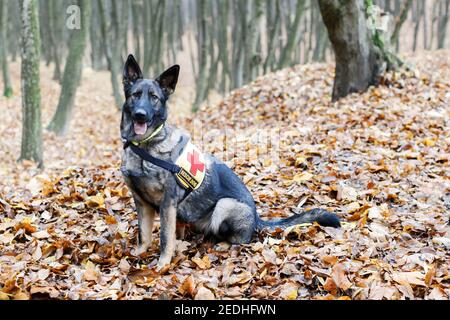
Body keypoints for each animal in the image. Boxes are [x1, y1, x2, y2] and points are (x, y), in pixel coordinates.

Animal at [120, 55, 342, 270]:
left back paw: (222, 244)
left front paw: (162, 264)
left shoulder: (168, 203)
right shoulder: (142, 203)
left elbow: (165, 238)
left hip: (224, 206)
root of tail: (256, 218)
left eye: (154, 98)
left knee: (242, 239)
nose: (140, 114)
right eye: (135, 95)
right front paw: (138, 254)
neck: (145, 146)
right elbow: (144, 235)